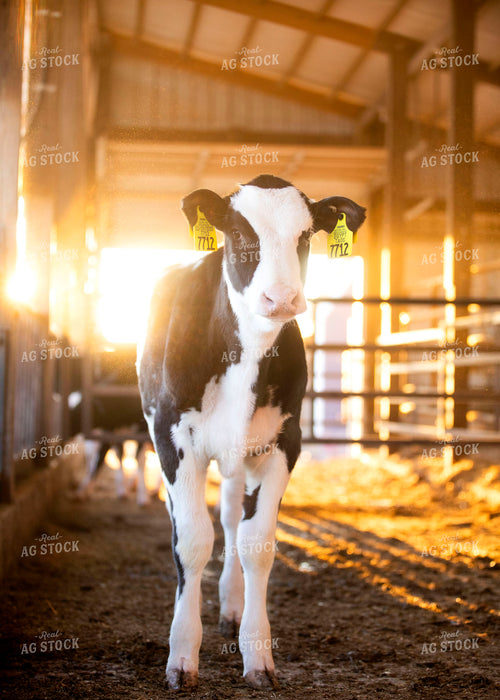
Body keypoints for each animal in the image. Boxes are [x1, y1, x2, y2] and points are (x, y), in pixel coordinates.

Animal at [137, 174, 366, 691]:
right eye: (240, 235)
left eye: (306, 236)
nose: (281, 299)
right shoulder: (172, 437)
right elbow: (191, 541)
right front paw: (182, 657)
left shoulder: (284, 442)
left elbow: (256, 544)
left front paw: (257, 655)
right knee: (192, 522)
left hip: (239, 456)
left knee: (229, 520)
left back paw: (232, 606)